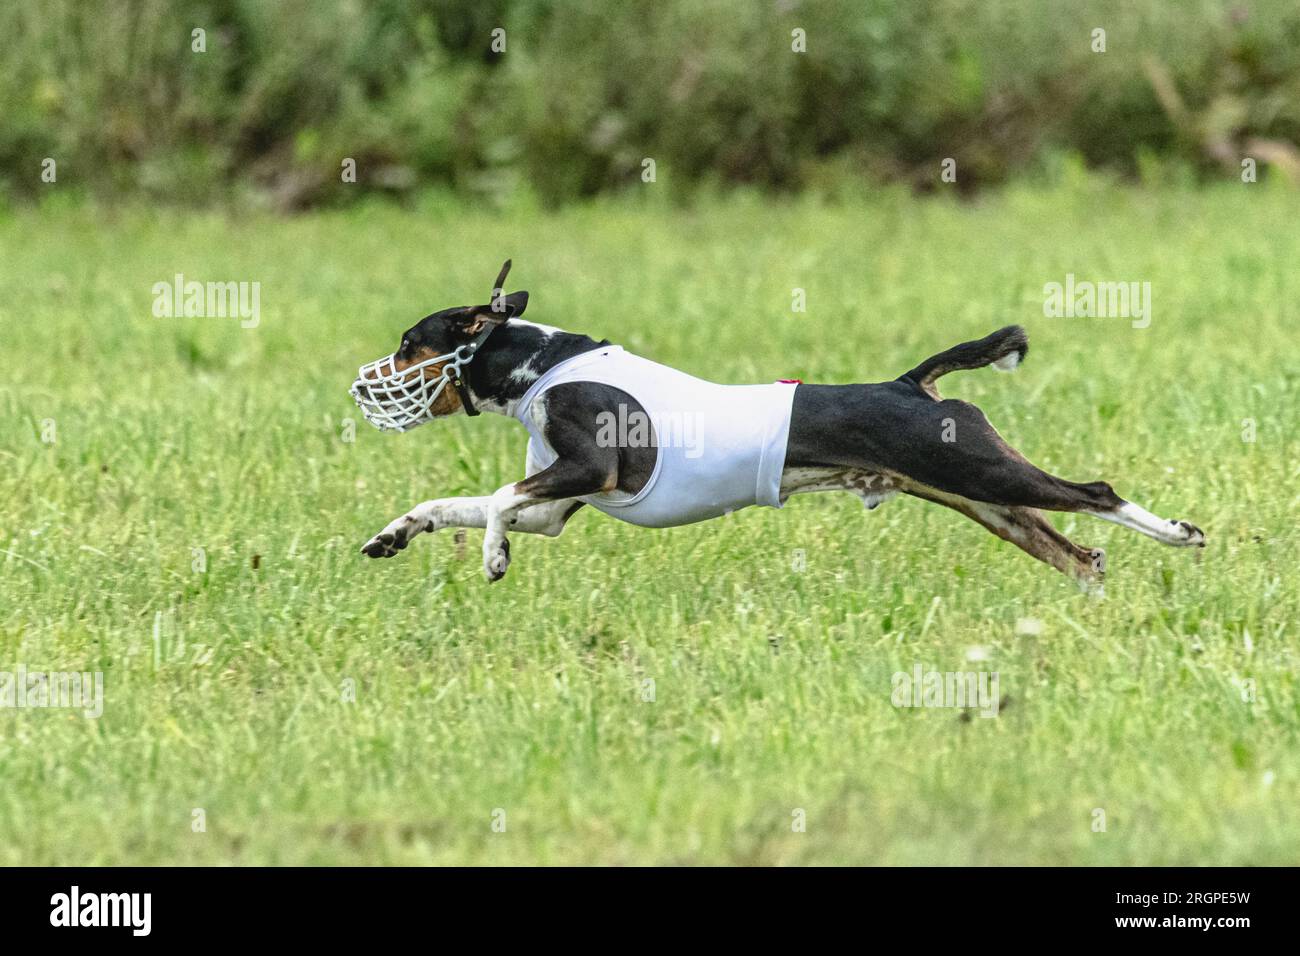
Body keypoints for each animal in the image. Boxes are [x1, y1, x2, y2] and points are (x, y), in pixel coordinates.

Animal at [351, 264, 1201, 590]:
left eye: (407, 344)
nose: (365, 382)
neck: (541, 366)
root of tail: (911, 383)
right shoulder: (558, 506)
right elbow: (450, 505)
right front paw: (394, 535)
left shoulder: (588, 472)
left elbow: (495, 500)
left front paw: (492, 558)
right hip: (983, 499)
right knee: (1077, 553)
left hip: (983, 474)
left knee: (1096, 493)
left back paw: (1180, 534)